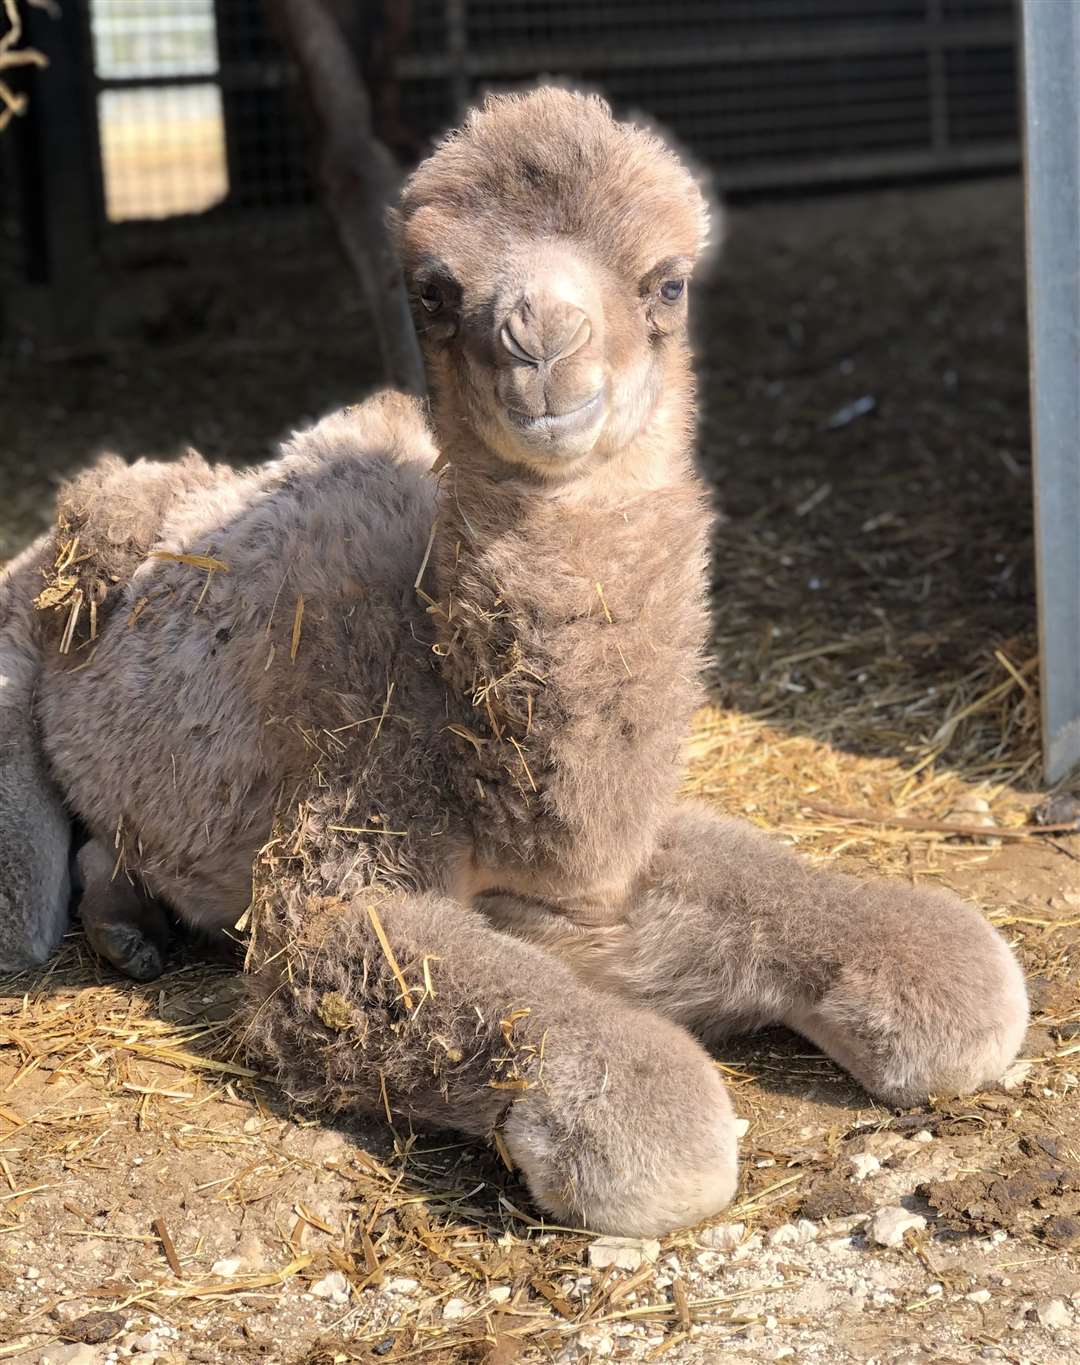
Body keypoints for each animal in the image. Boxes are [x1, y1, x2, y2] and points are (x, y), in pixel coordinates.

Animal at [2, 88, 1032, 1239]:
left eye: (666, 282)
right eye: (435, 290)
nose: (540, 341)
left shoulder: (593, 873)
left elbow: (963, 973)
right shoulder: (334, 857)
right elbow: (656, 1119)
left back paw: (134, 927)